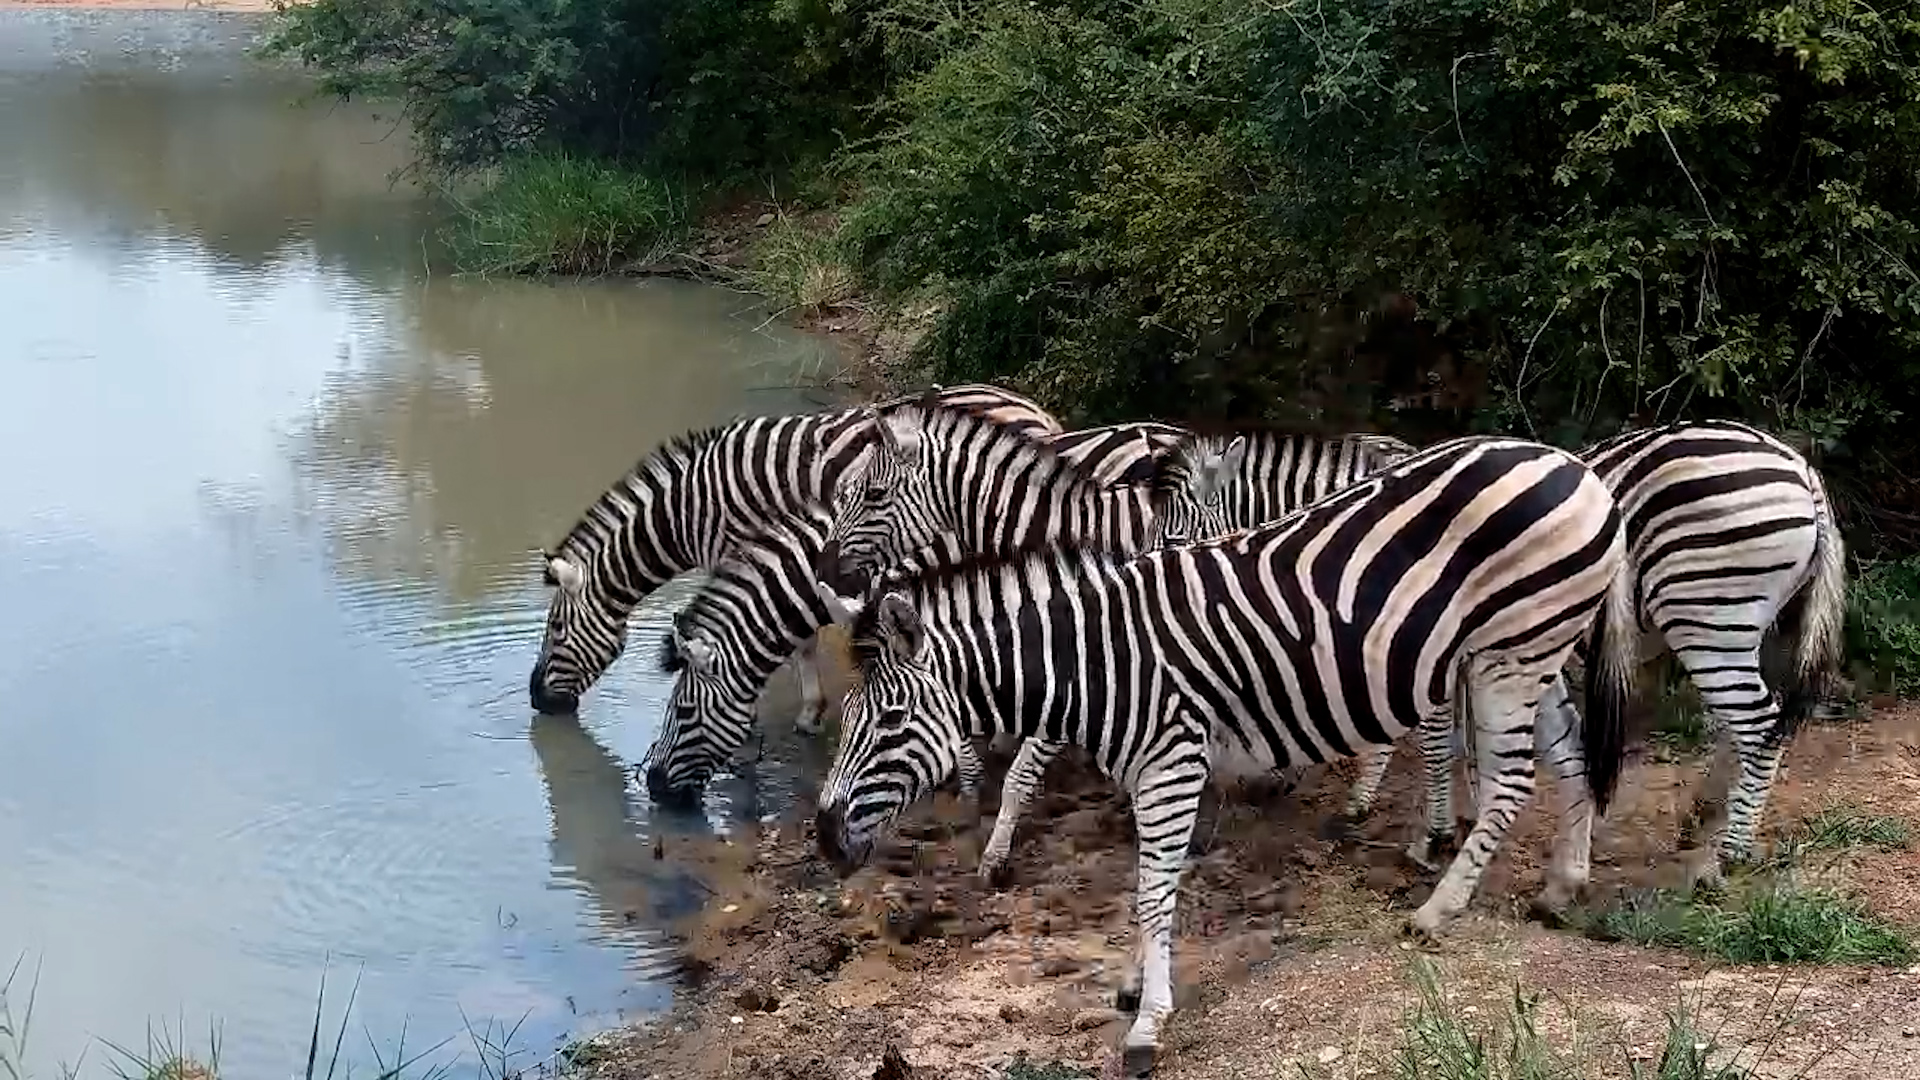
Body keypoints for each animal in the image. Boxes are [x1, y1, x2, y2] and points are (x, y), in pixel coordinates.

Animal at [528, 383, 1060, 728]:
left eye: (556, 630)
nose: (536, 700)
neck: (687, 511)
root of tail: (1031, 408)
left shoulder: (740, 551)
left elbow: (784, 633)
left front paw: (804, 710)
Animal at [813, 434, 1636, 1077]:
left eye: (889, 720)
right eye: (851, 719)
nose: (821, 837)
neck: (1096, 661)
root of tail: (1576, 465)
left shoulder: (1172, 761)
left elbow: (1152, 890)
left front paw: (1147, 1022)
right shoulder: (1152, 770)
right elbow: (1149, 880)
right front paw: (1135, 982)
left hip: (1511, 653)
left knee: (1511, 781)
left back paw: (1437, 909)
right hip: (1538, 648)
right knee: (1568, 760)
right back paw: (1561, 885)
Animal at [1338, 420, 1847, 884]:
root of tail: (1802, 470)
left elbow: (1436, 738)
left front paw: (1434, 836)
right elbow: (1468, 741)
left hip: (1705, 610)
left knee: (1759, 726)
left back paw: (1727, 854)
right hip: (1732, 624)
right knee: (1740, 722)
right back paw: (1703, 818)